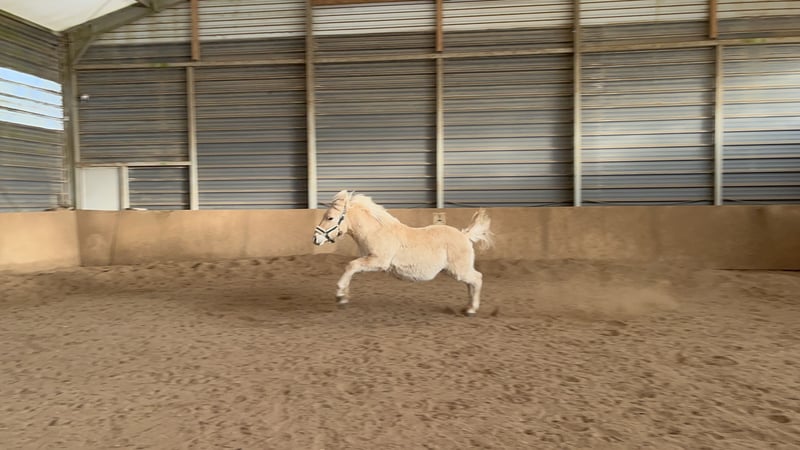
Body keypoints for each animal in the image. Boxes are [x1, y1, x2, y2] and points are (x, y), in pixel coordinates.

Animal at [313, 190, 494, 316]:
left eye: (330, 218)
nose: (315, 238)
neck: (376, 231)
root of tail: (465, 235)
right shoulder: (369, 260)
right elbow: (352, 269)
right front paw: (345, 297)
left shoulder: (378, 261)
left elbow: (351, 266)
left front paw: (340, 296)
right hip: (456, 271)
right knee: (470, 283)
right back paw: (467, 307)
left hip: (459, 270)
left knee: (477, 279)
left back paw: (471, 310)